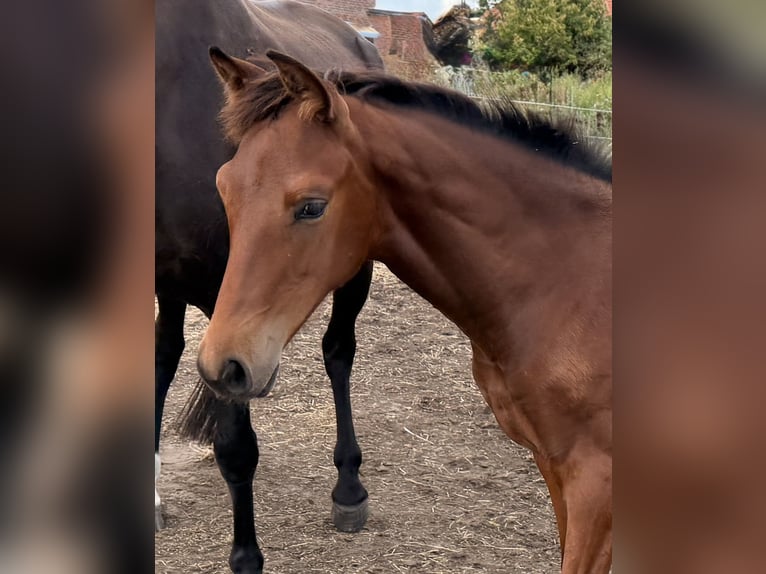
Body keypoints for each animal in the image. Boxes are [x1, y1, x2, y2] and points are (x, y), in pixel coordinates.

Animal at [198, 49, 613, 573]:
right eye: (223, 188)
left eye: (312, 206)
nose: (222, 367)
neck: (565, 278)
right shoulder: (554, 466)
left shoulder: (595, 483)